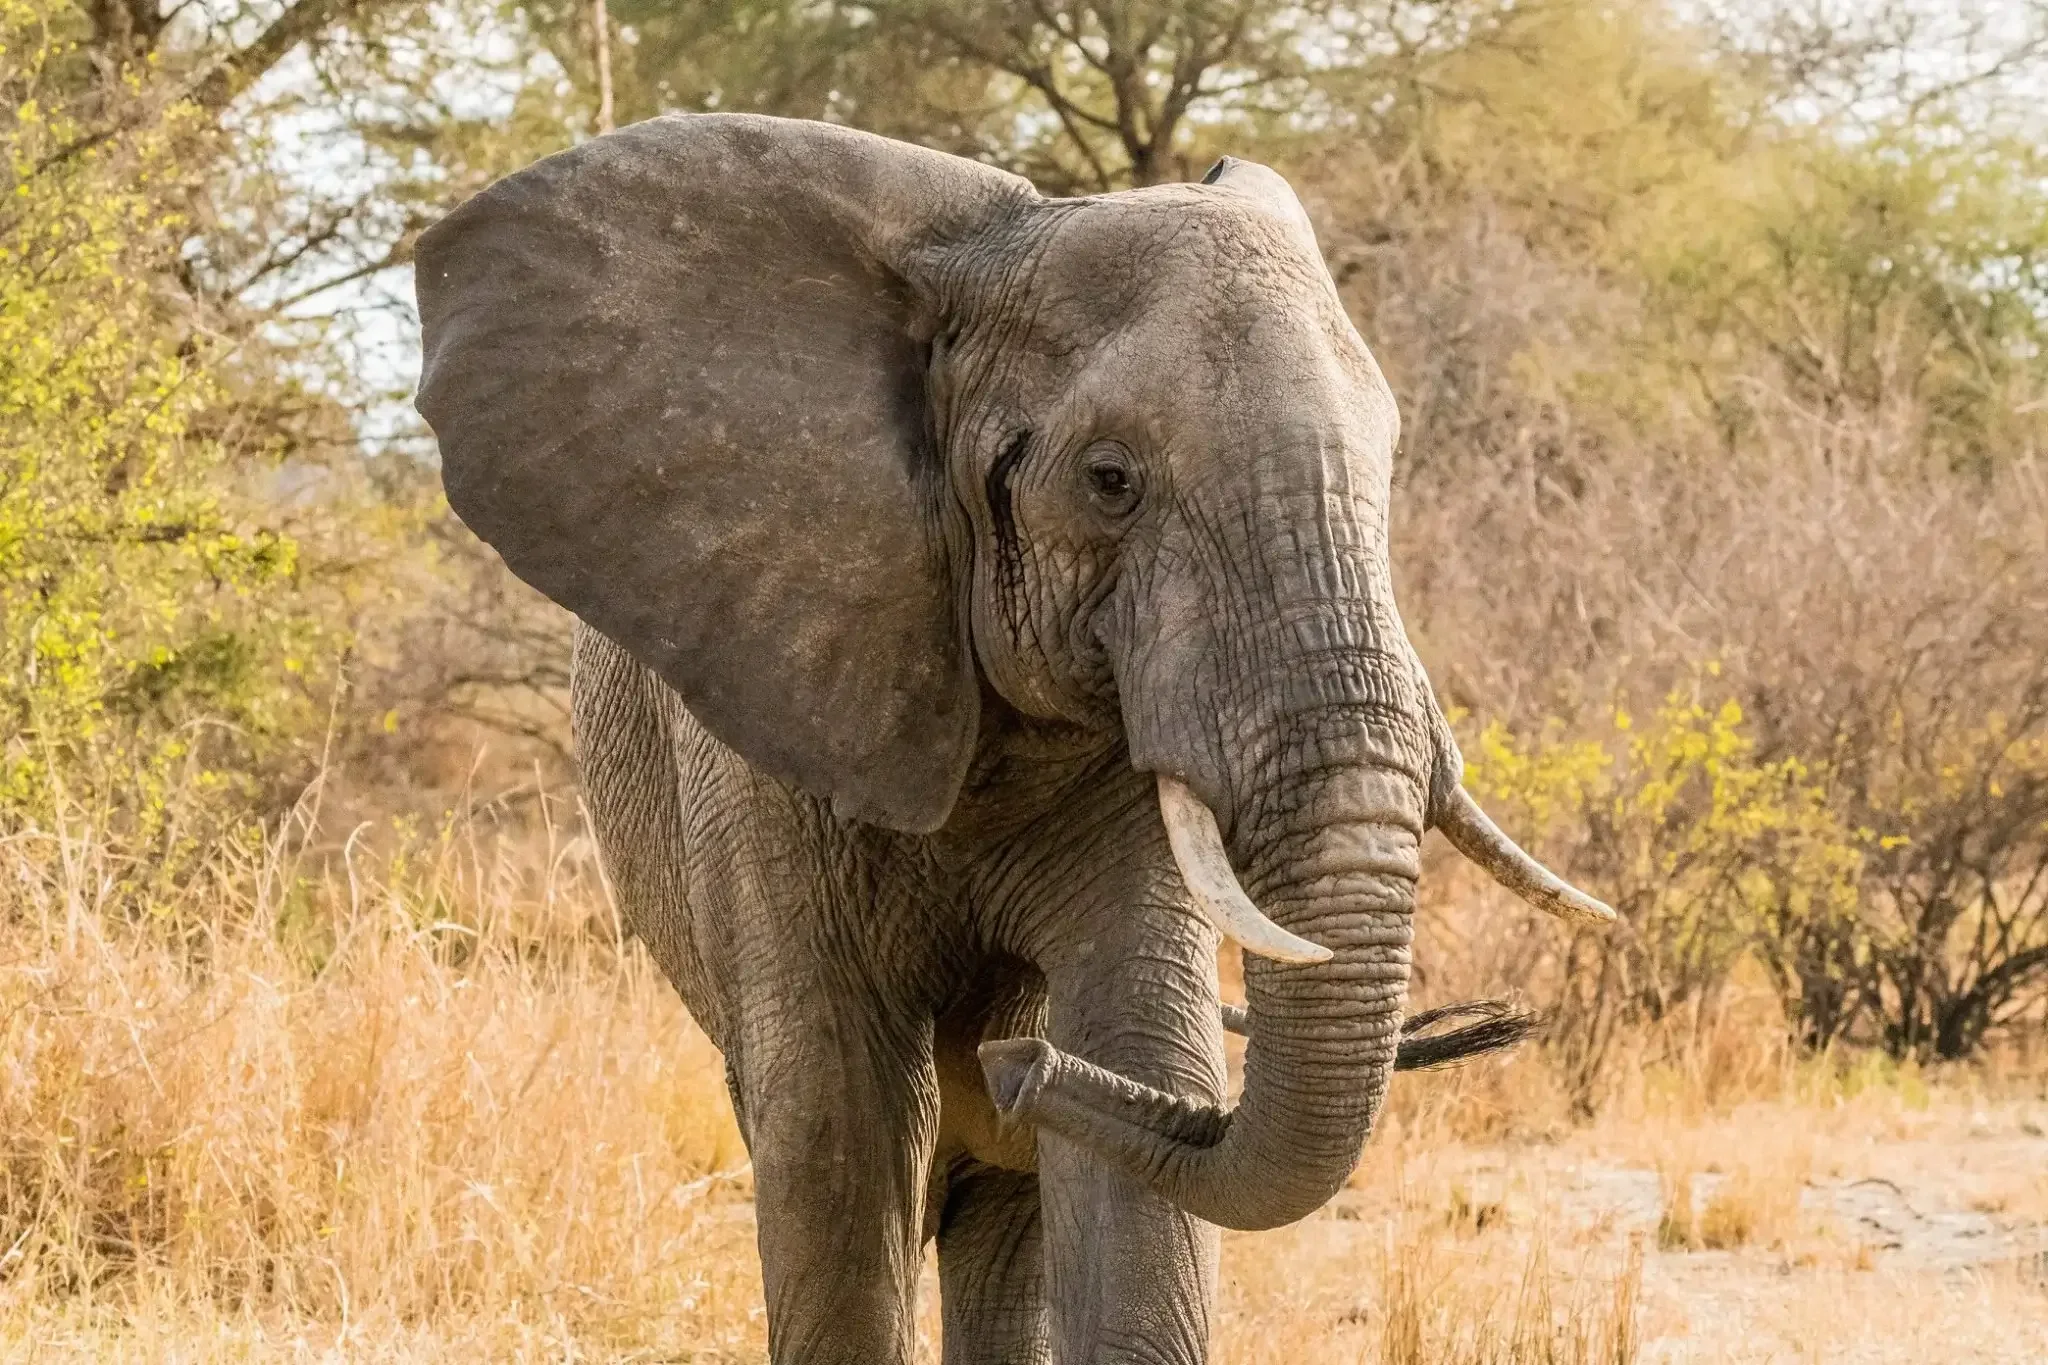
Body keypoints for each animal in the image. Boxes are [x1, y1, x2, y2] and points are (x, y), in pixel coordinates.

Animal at [412, 113, 1611, 1365]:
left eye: (1388, 468)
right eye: (1109, 480)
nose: (1015, 1063)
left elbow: (1139, 1069)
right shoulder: (762, 732)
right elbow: (838, 1140)